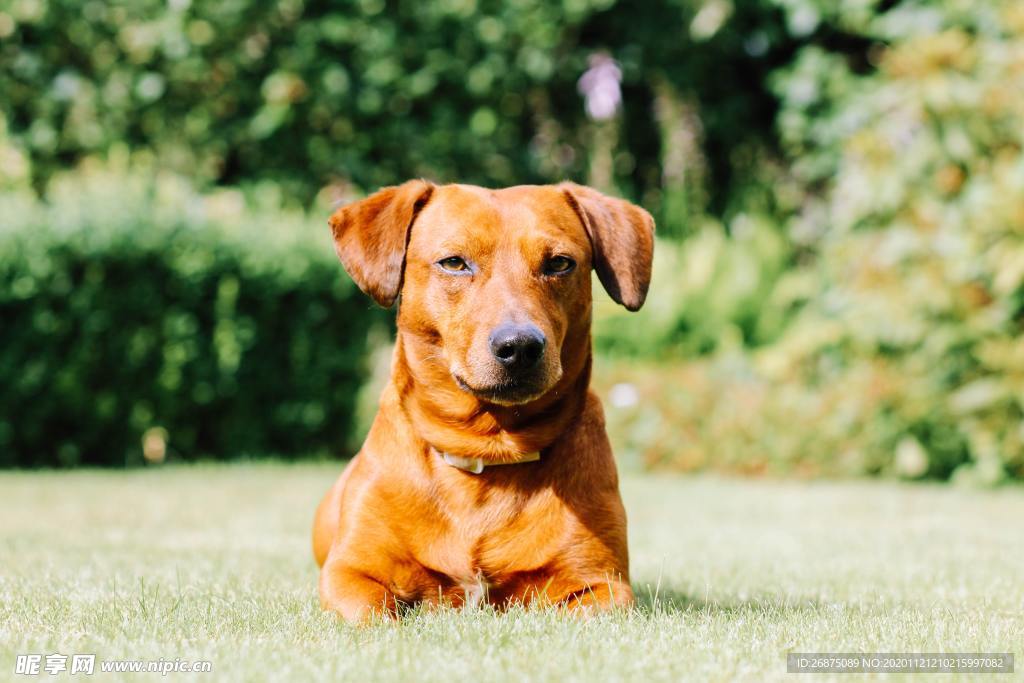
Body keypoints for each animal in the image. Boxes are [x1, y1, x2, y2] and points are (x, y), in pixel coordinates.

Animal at [309, 180, 655, 618]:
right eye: (454, 263)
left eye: (560, 263)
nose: (520, 346)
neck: (487, 450)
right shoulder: (349, 573)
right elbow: (374, 612)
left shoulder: (603, 585)